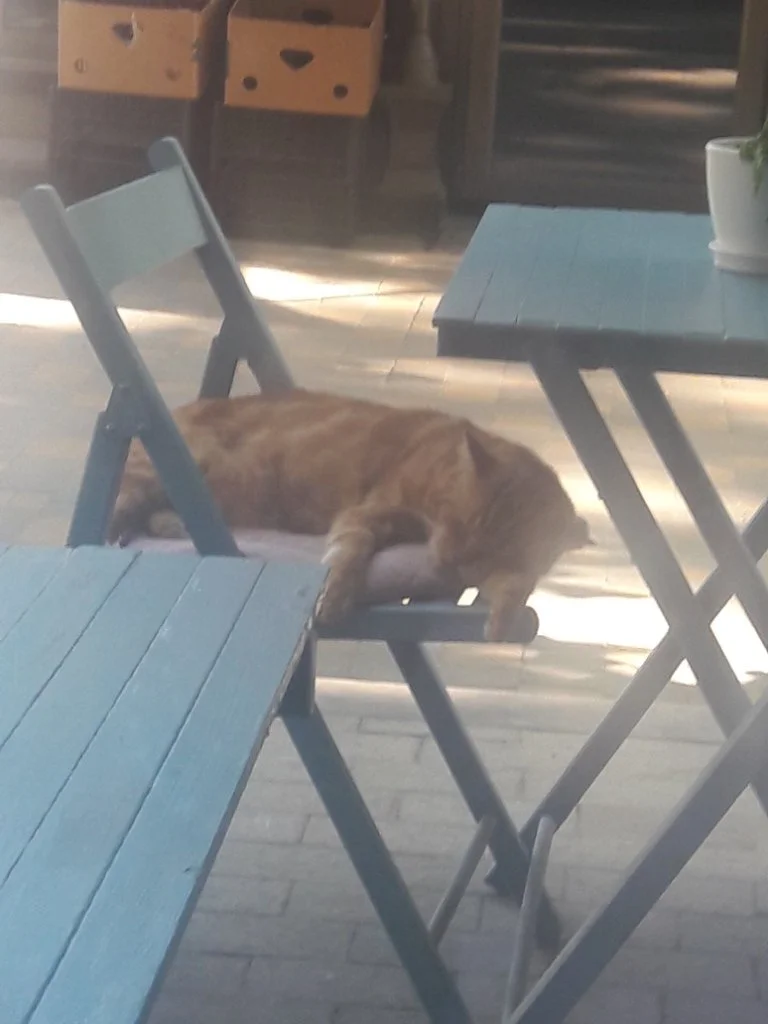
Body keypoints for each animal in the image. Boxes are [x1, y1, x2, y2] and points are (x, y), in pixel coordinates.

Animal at [109, 389, 592, 640]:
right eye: (457, 522)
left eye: (486, 551)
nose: (447, 562)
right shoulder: (368, 513)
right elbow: (348, 554)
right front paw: (334, 596)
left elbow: (515, 586)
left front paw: (504, 616)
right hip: (177, 469)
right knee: (124, 506)